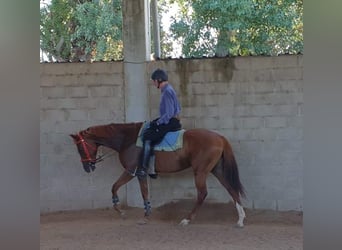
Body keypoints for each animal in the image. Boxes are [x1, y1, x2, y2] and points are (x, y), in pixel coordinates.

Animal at [70, 122, 246, 228]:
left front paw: (122, 212)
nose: (87, 167)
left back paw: (187, 219)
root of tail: (220, 137)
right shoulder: (140, 174)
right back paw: (240, 219)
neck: (127, 139)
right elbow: (144, 193)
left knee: (203, 193)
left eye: (80, 147)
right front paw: (146, 214)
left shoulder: (131, 171)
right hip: (217, 169)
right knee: (231, 189)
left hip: (201, 171)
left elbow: (115, 187)